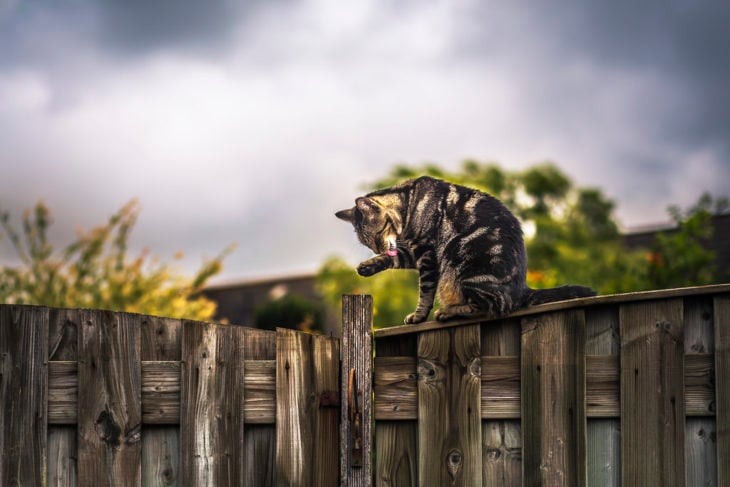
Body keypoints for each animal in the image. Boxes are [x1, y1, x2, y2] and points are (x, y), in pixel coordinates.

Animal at [338, 175, 596, 324]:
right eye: (367, 243)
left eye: (377, 235)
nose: (375, 249)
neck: (408, 203)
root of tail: (522, 290)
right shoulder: (414, 252)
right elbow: (393, 259)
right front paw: (368, 266)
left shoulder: (427, 253)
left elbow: (425, 292)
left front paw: (419, 316)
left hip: (462, 263)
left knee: (488, 307)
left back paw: (449, 311)